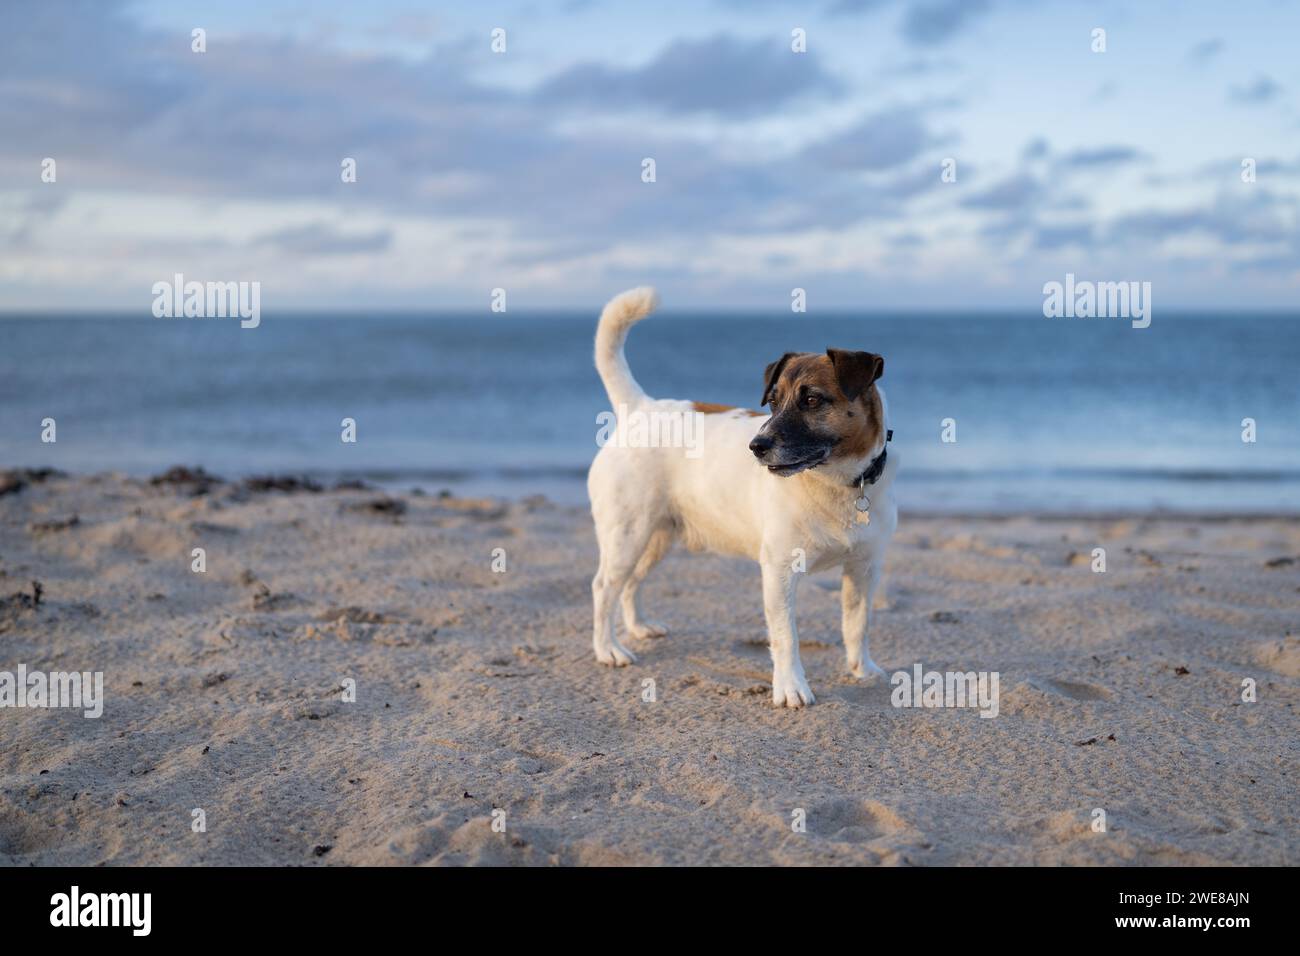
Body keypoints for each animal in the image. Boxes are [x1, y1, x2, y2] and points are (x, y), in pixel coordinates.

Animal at [587, 287, 894, 707]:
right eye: (773, 401)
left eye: (813, 400)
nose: (756, 446)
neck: (834, 484)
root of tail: (640, 408)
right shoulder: (780, 572)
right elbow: (785, 638)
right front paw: (791, 688)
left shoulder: (864, 570)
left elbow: (857, 625)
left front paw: (862, 670)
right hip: (626, 536)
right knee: (604, 588)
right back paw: (608, 650)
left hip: (656, 538)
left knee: (631, 584)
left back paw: (639, 627)